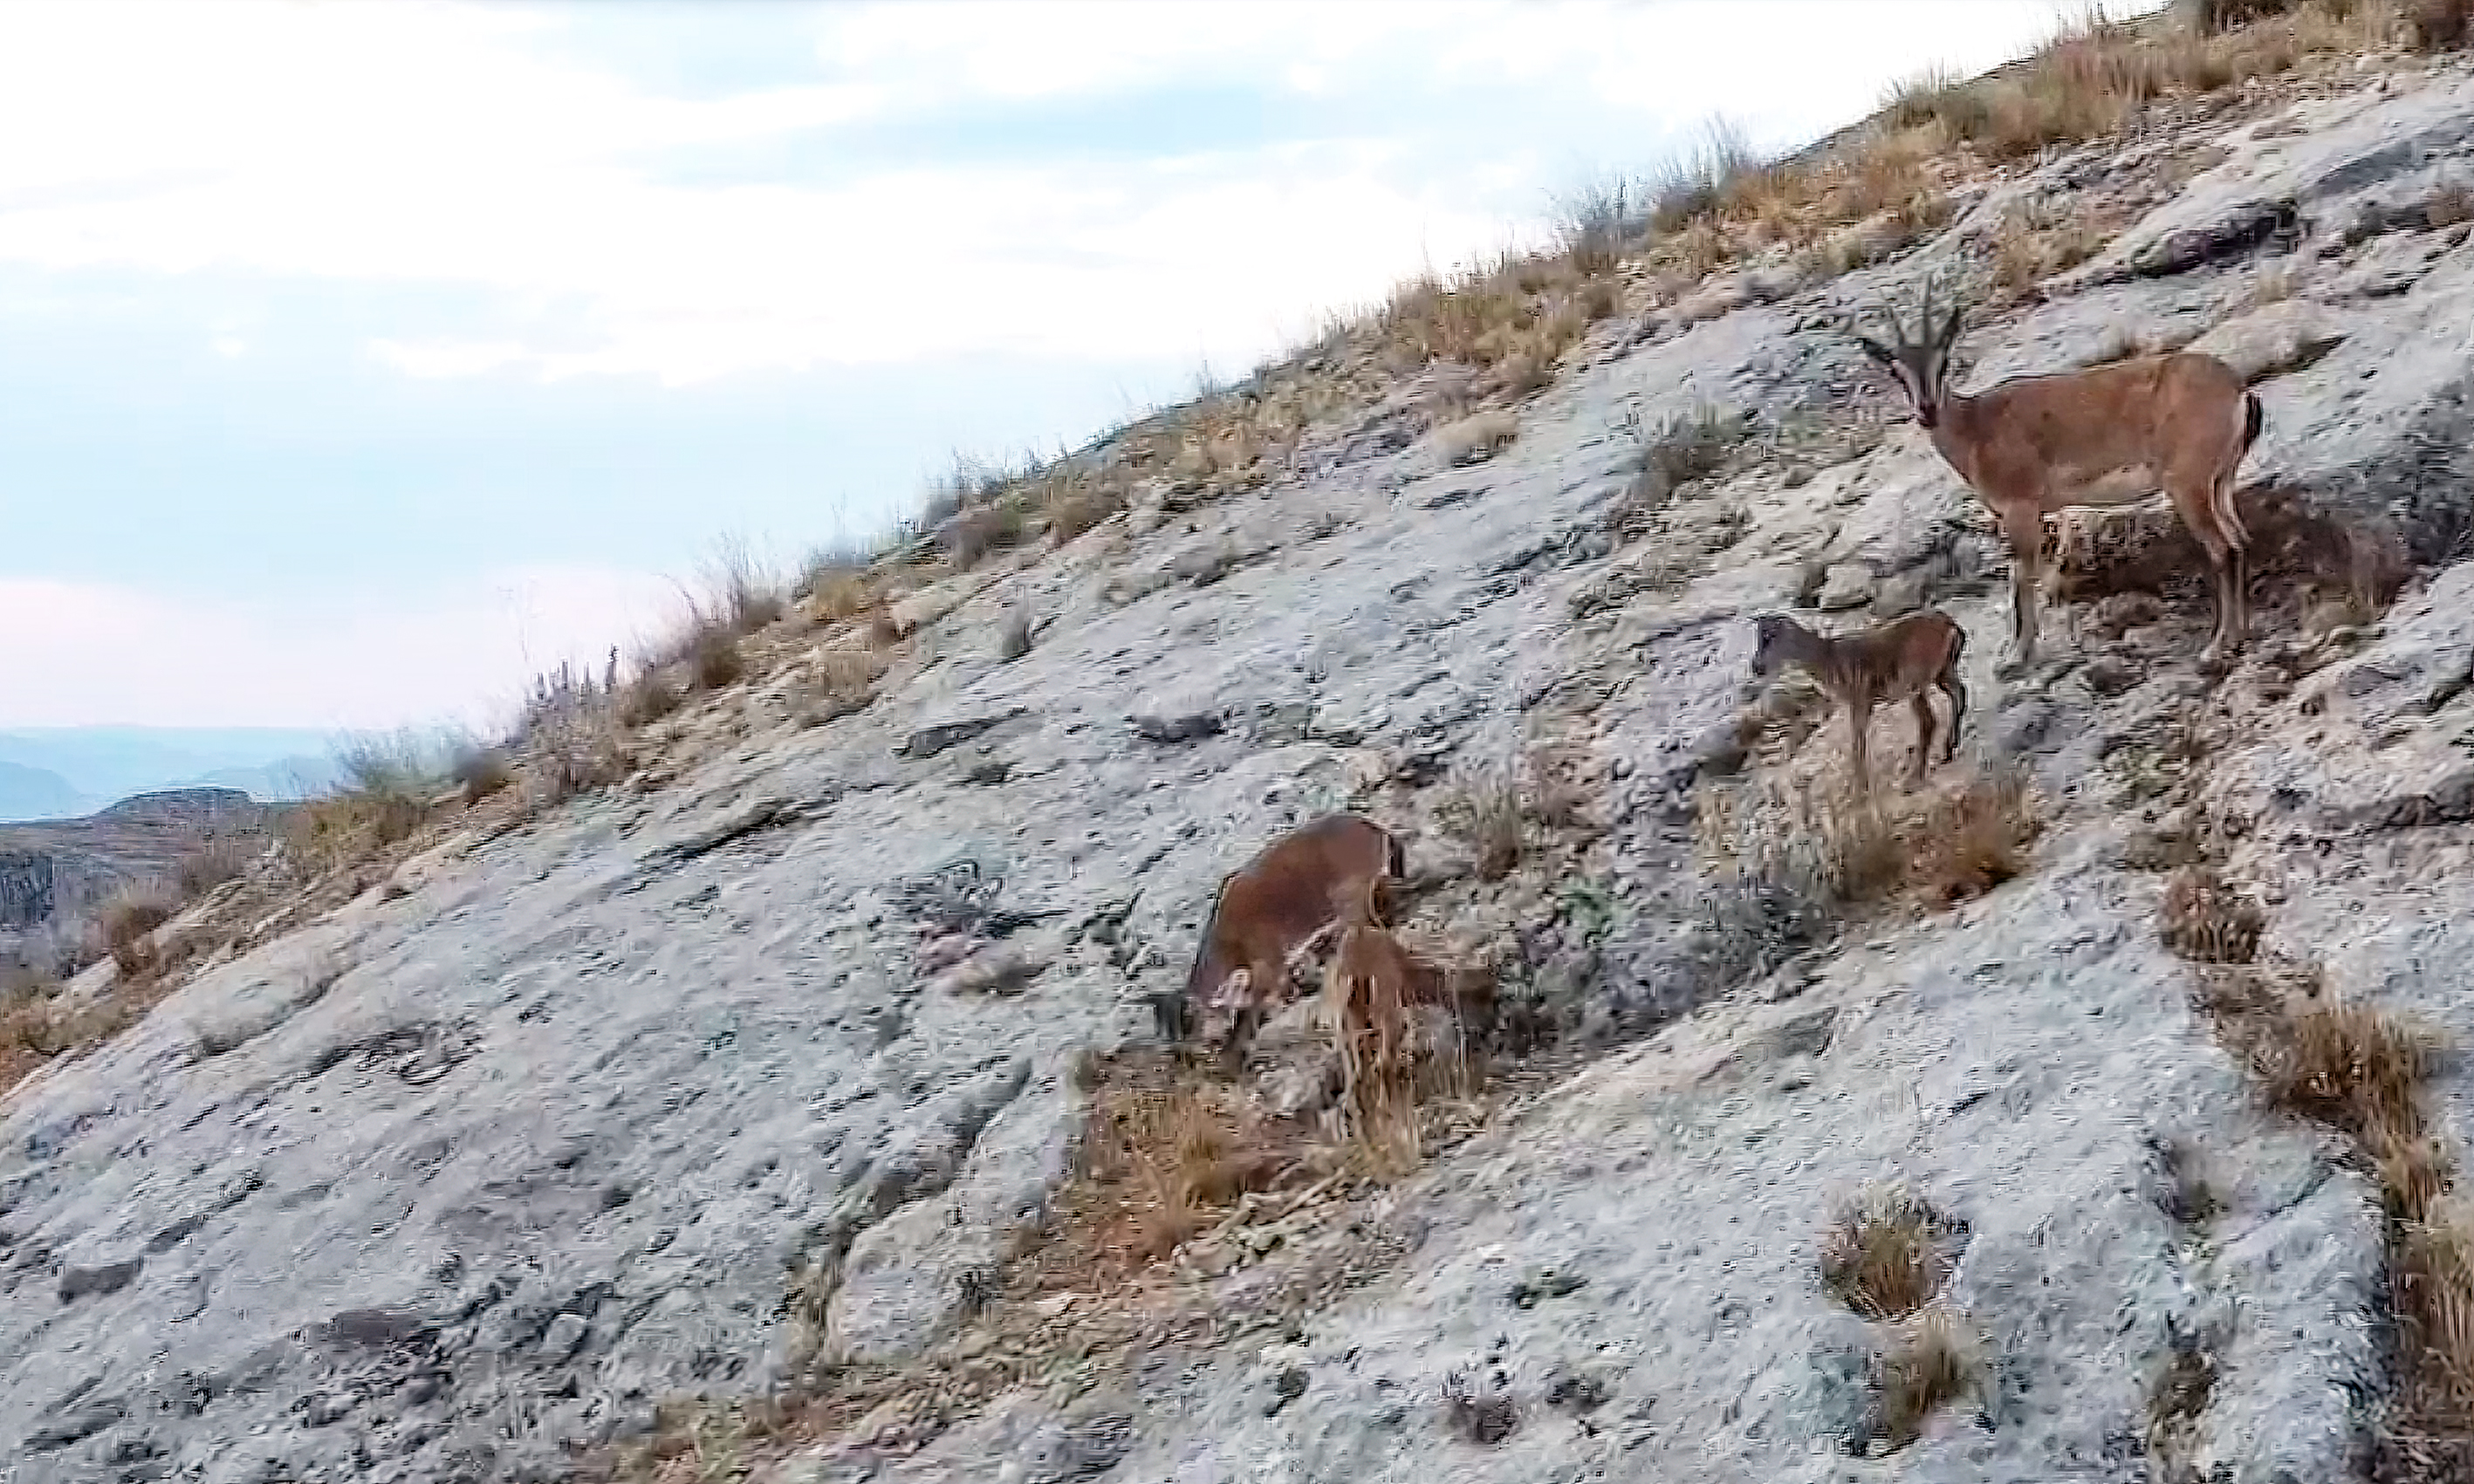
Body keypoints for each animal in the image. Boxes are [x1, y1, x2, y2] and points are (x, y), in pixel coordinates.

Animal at [1168, 810, 1405, 1068]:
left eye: (1197, 1023)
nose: (1186, 1053)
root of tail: (1377, 830)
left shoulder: (1267, 961)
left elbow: (1262, 1001)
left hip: (1352, 892)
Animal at [1761, 608, 1969, 796]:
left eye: (1771, 636)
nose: (1758, 667)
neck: (1829, 659)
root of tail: (1953, 627)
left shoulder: (1860, 697)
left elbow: (1857, 740)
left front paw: (1858, 787)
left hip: (1916, 678)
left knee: (1929, 720)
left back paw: (1912, 780)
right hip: (1944, 668)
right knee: (1959, 691)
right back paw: (1949, 749)